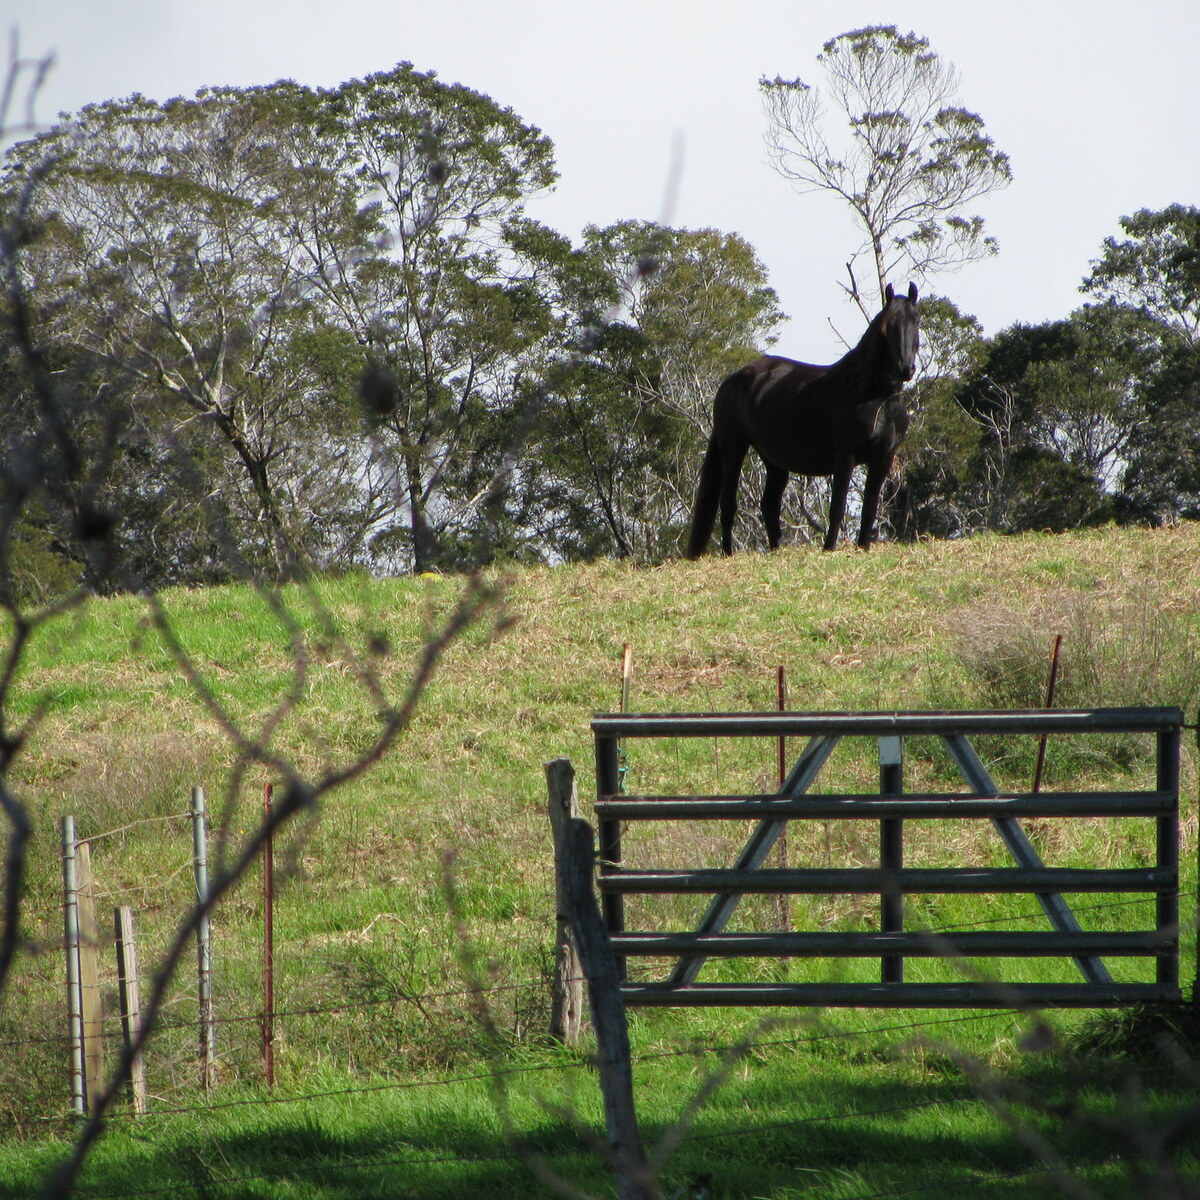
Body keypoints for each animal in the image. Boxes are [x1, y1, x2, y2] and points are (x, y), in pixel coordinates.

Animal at [686, 282, 920, 556]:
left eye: (916, 320)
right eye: (889, 326)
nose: (905, 369)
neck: (876, 398)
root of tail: (732, 380)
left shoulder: (883, 459)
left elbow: (870, 507)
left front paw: (863, 548)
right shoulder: (846, 457)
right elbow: (837, 506)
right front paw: (829, 549)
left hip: (773, 459)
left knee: (770, 505)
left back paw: (776, 550)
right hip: (733, 447)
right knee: (728, 503)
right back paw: (728, 553)